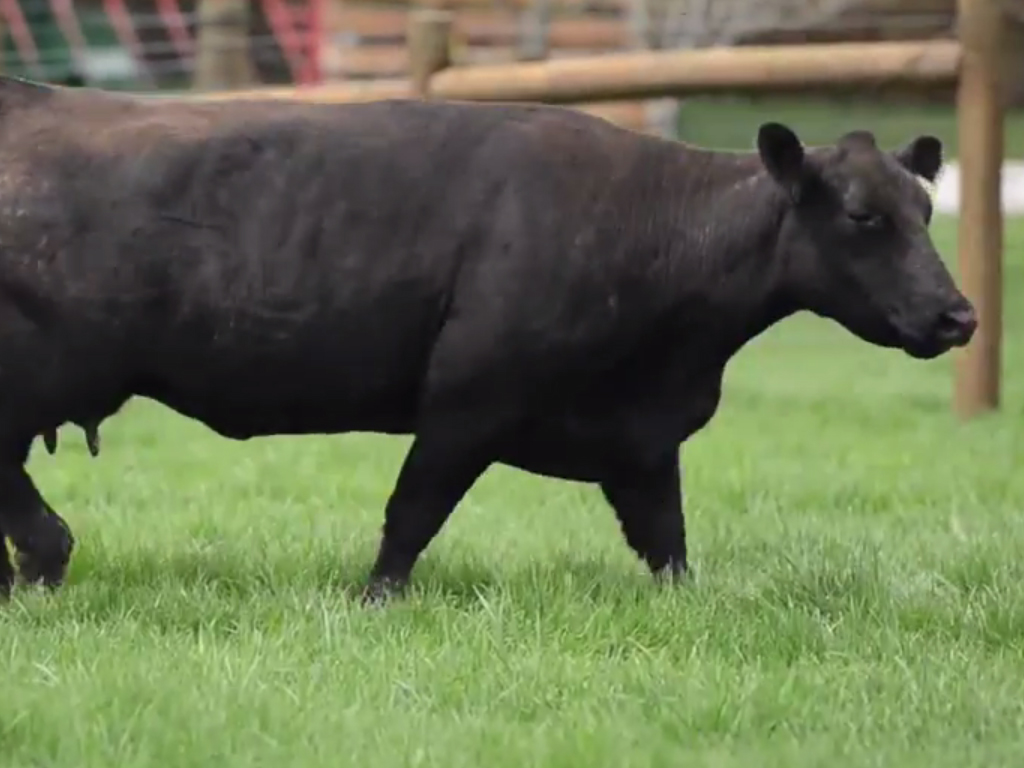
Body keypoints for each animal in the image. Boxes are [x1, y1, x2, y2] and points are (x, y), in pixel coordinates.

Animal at [0, 75, 975, 603]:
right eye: (862, 216)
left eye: (926, 209)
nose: (958, 315)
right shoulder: (469, 400)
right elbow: (411, 515)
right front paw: (373, 602)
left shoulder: (642, 440)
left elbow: (668, 542)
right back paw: (42, 563)